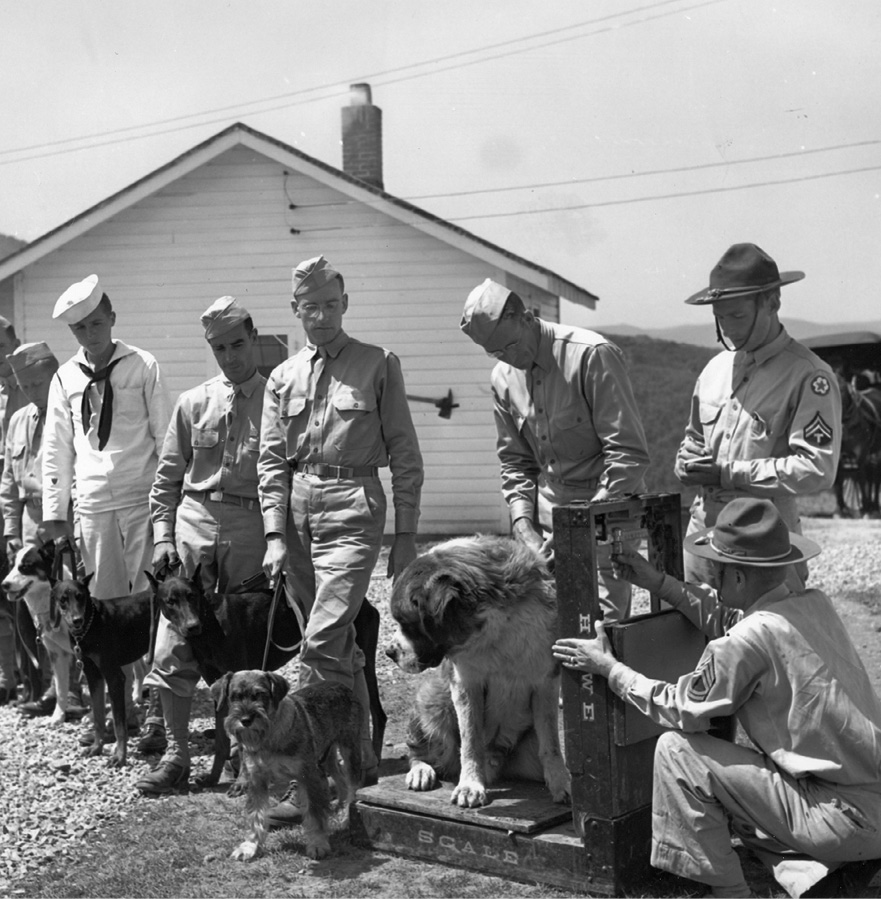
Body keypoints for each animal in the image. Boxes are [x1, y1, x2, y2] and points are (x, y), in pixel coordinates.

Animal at [51, 576, 156, 768]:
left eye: (81, 596)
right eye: (63, 599)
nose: (77, 620)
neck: (91, 625)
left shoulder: (114, 677)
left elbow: (119, 726)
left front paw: (119, 757)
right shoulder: (94, 676)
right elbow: (99, 718)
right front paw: (96, 748)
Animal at [148, 572, 384, 792]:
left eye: (192, 596)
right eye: (171, 601)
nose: (192, 626)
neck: (210, 622)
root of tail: (367, 603)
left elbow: (242, 745)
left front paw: (242, 782)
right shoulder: (220, 691)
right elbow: (222, 743)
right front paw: (213, 778)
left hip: (363, 657)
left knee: (377, 712)